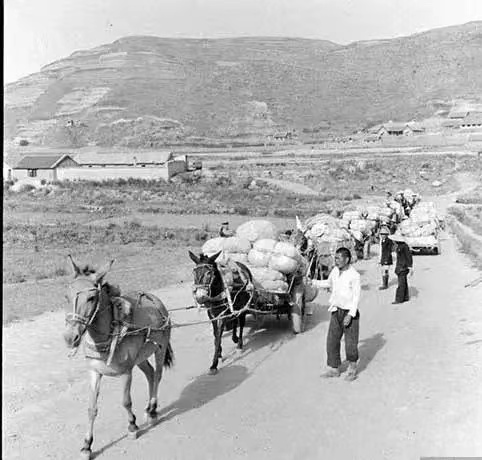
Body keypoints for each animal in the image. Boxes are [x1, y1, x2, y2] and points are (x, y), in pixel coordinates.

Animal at [63, 256, 174, 460]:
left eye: (91, 298)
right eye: (66, 297)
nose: (69, 337)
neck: (108, 334)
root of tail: (155, 299)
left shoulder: (126, 372)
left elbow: (126, 401)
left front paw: (132, 426)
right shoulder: (94, 372)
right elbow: (91, 409)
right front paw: (87, 445)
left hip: (160, 349)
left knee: (158, 375)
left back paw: (153, 410)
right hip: (141, 357)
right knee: (150, 374)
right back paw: (148, 408)